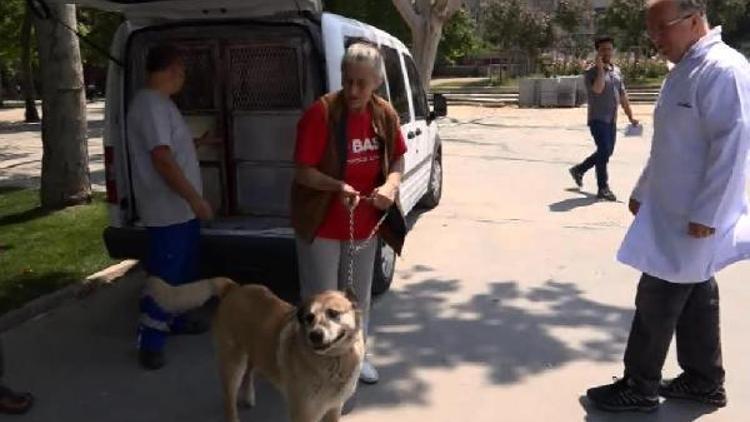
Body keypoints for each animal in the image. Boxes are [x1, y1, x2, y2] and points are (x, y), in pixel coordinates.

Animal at [213, 282, 366, 422]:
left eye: (333, 313)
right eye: (309, 317)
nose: (314, 335)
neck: (335, 358)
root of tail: (234, 288)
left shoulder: (334, 408)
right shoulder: (304, 414)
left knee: (248, 372)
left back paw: (248, 396)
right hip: (233, 365)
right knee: (229, 399)